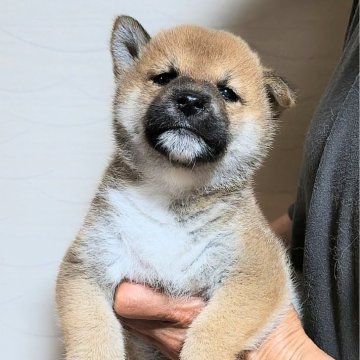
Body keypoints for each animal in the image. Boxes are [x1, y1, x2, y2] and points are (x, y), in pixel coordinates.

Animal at [55, 15, 296, 358]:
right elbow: (93, 334)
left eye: (227, 92)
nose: (191, 101)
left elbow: (212, 330)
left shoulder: (255, 272)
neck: (171, 191)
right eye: (164, 77)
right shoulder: (87, 264)